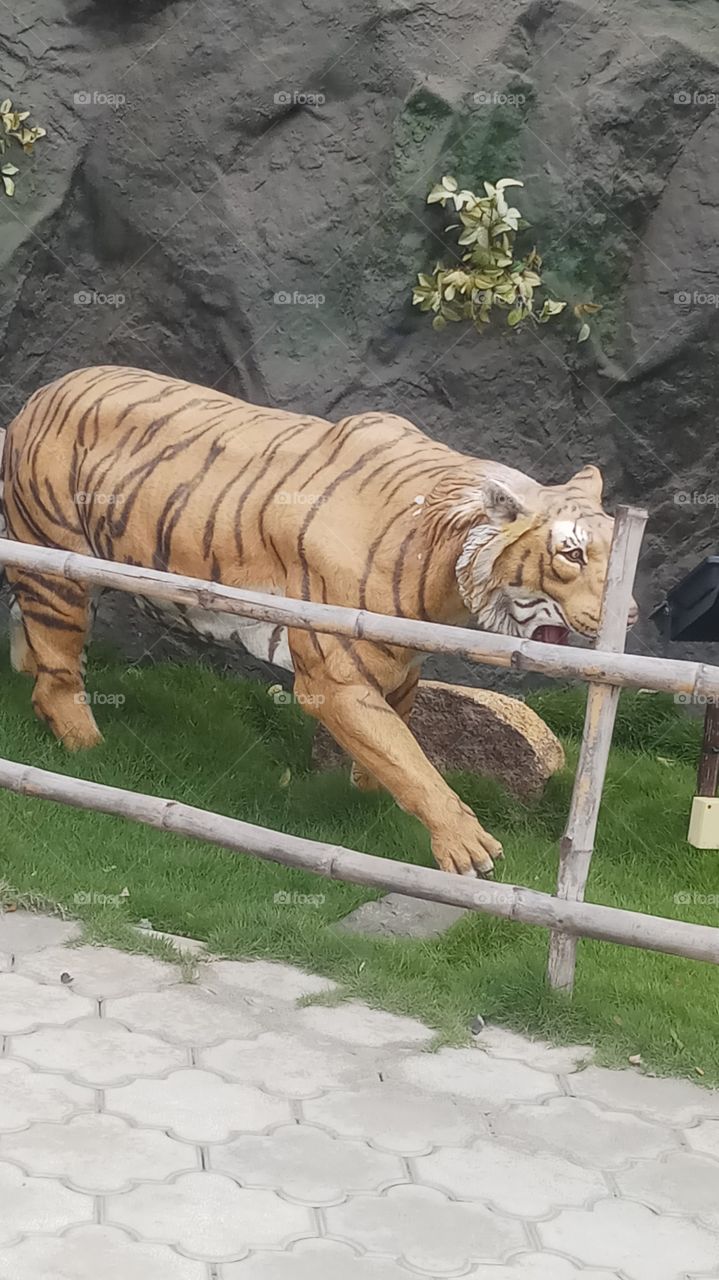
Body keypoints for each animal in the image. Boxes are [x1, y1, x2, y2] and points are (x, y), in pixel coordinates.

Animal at [1, 365, 636, 878]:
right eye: (572, 554)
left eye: (616, 550)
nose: (629, 614)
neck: (441, 560)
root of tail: (40, 394)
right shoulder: (336, 677)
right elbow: (408, 756)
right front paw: (466, 846)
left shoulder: (399, 662)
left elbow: (393, 743)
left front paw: (365, 795)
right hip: (58, 569)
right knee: (57, 673)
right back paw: (90, 750)